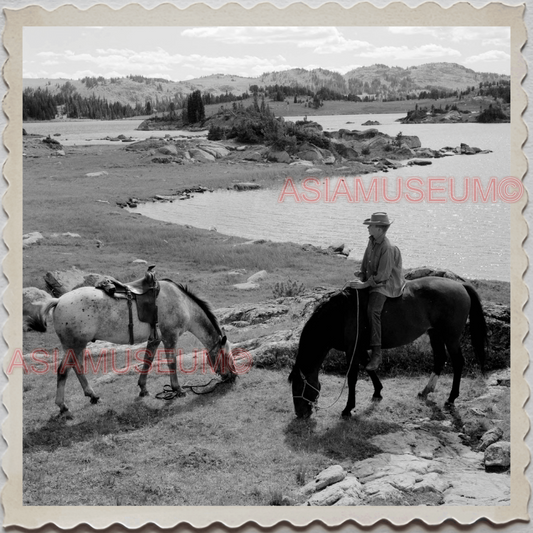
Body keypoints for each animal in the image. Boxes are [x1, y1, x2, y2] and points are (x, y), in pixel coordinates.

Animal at [288, 276, 484, 418]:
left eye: (298, 387)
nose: (300, 414)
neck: (342, 314)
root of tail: (460, 285)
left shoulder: (352, 350)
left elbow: (352, 378)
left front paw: (348, 408)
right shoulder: (360, 348)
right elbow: (369, 367)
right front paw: (377, 392)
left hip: (450, 337)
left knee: (458, 362)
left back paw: (451, 398)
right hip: (435, 333)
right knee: (440, 359)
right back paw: (425, 391)